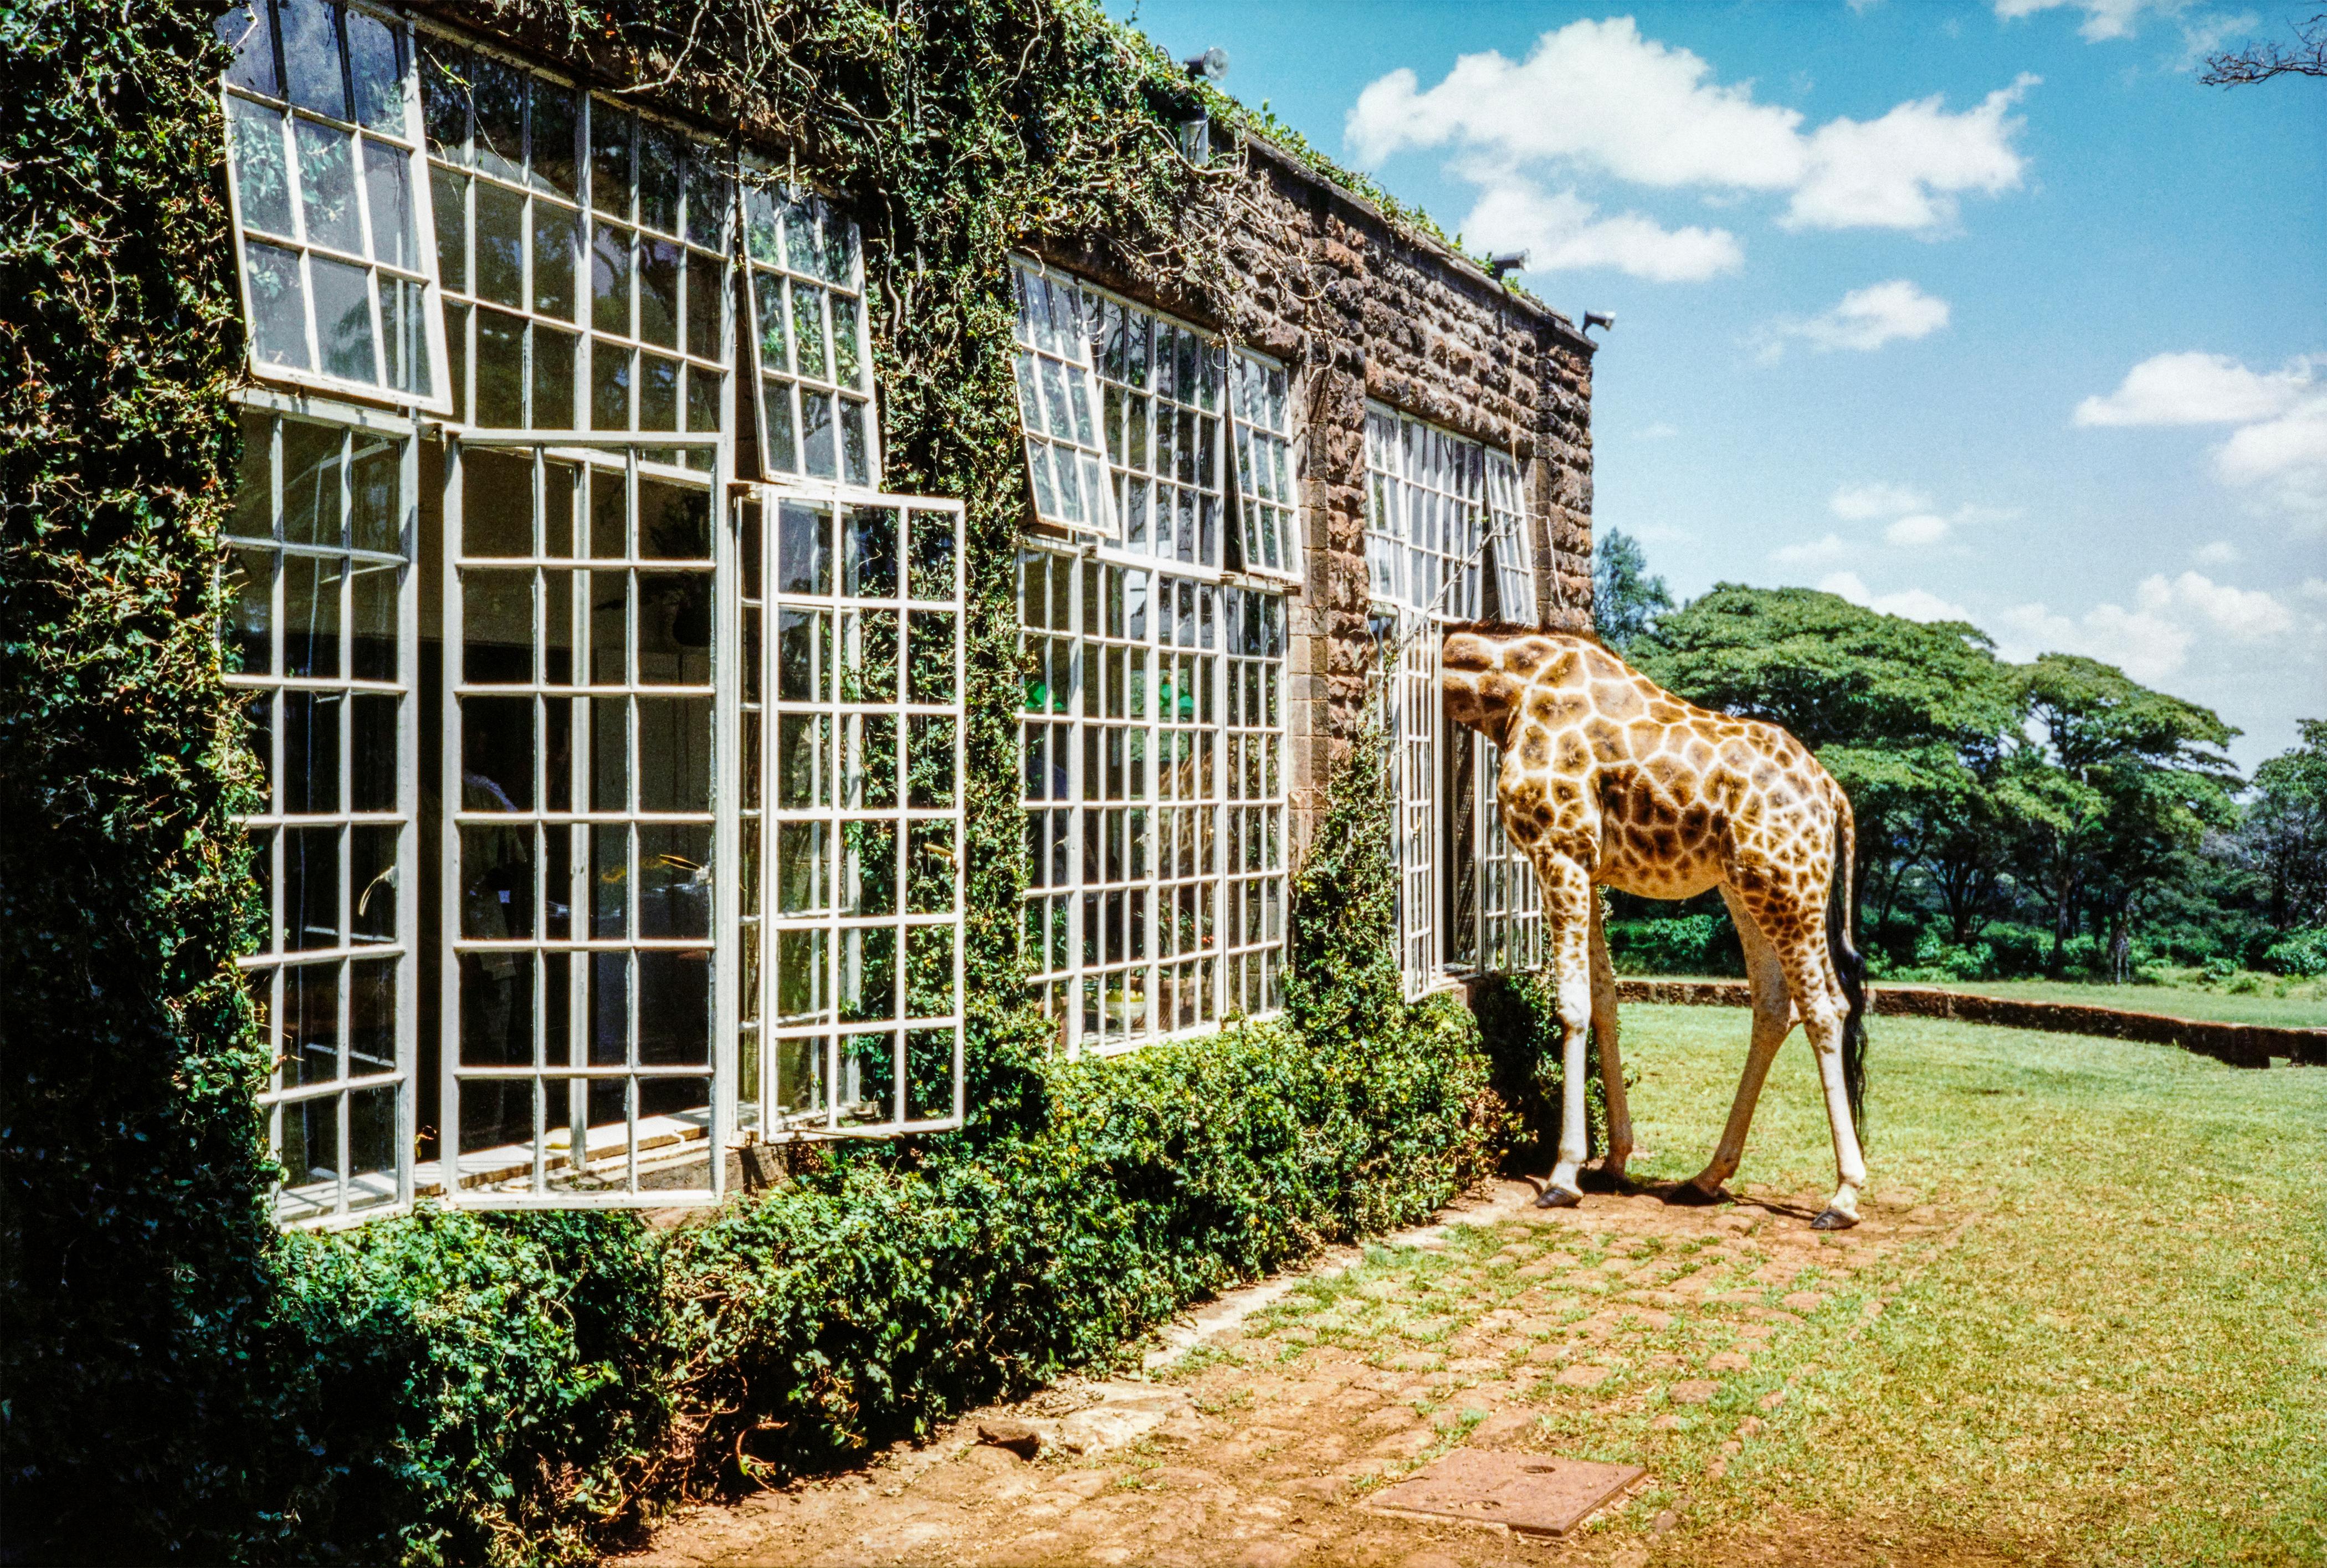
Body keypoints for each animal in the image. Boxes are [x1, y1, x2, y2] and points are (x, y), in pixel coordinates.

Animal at [1433, 618, 1870, 1219]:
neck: (1512, 692)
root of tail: (1832, 795)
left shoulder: (1560, 850)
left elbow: (1571, 1006)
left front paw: (1564, 1175)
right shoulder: (1588, 866)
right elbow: (1604, 1003)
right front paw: (1614, 1161)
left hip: (1786, 888)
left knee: (1824, 1009)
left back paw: (1843, 1196)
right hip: (1754, 888)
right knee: (1779, 1006)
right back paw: (1707, 1178)